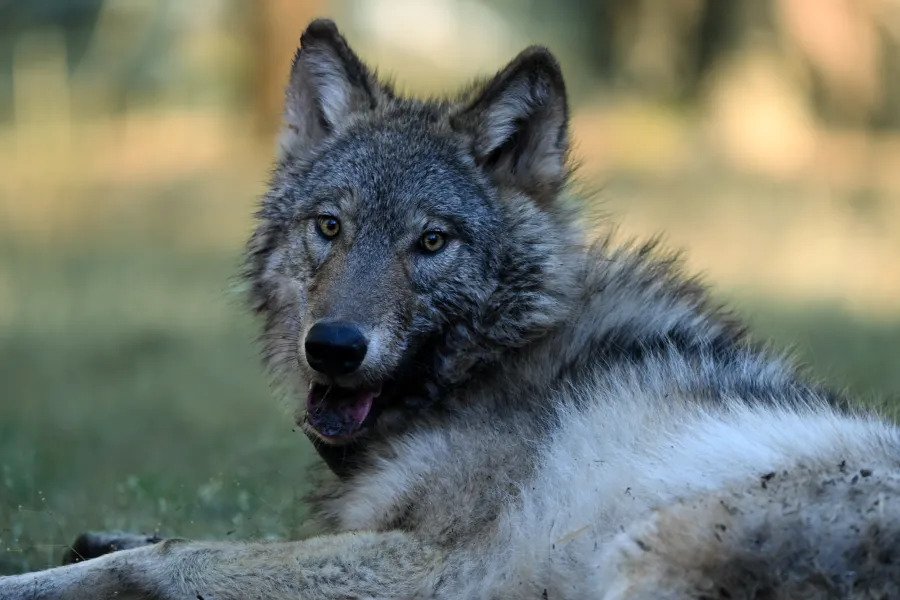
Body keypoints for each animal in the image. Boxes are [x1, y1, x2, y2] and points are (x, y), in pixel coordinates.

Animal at [3, 18, 899, 599]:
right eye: (331, 227)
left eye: (431, 242)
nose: (334, 347)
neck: (495, 367)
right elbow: (187, 542)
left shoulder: (439, 565)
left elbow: (169, 559)